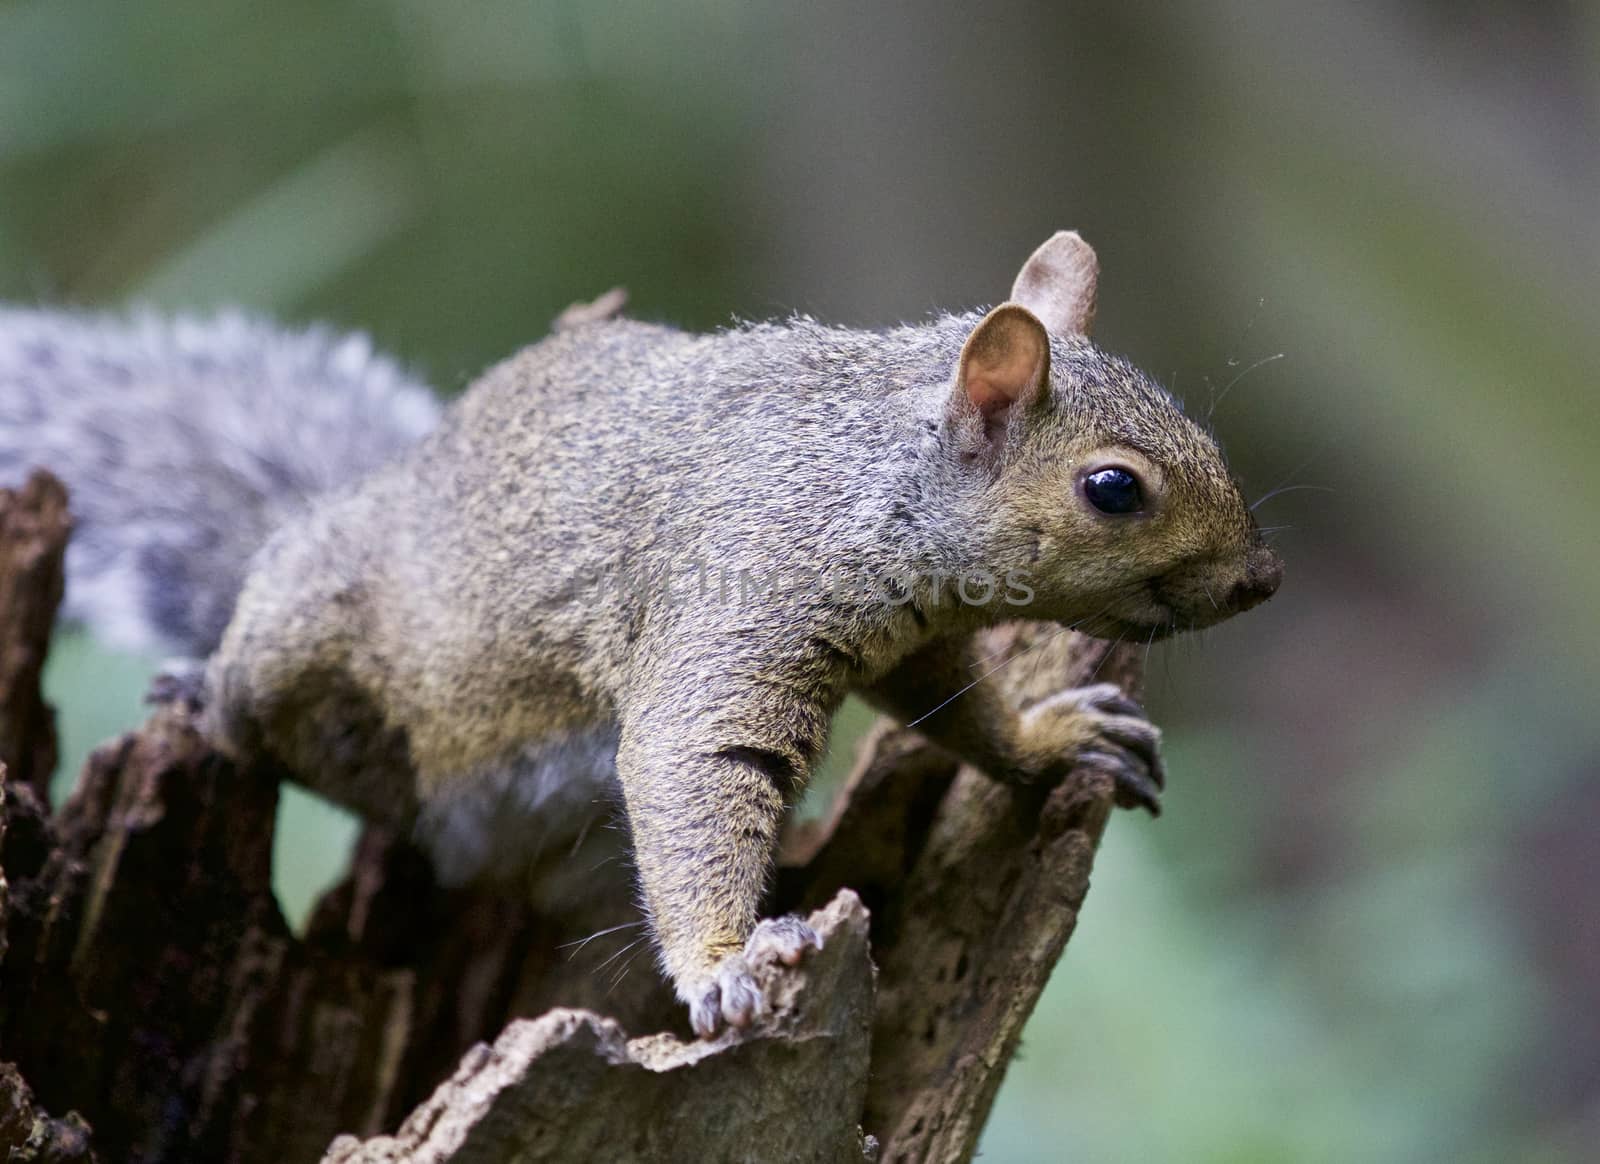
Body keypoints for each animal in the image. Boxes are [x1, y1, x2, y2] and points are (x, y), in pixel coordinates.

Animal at [0, 230, 1273, 1036]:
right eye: (1113, 489)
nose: (1259, 579)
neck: (868, 481)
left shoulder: (910, 639)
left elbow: (955, 708)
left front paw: (1050, 738)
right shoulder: (742, 592)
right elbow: (689, 761)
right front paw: (724, 963)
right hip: (306, 636)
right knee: (254, 694)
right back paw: (200, 691)